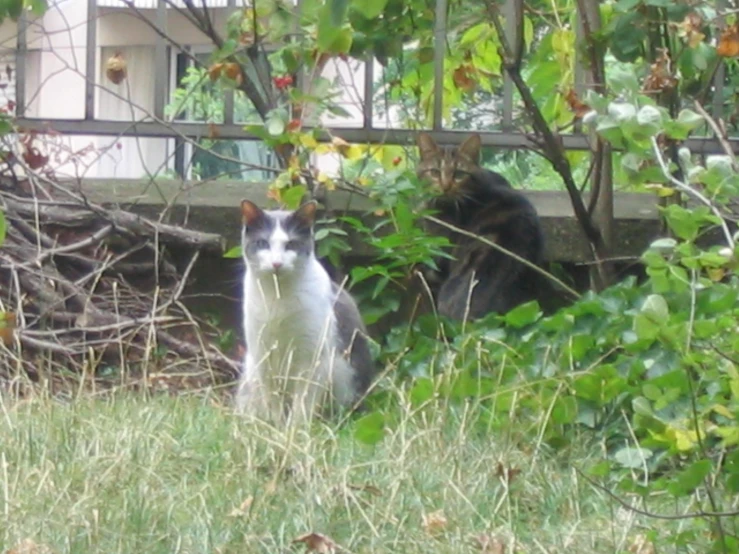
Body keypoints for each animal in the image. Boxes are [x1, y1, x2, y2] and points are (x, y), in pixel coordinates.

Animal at [237, 198, 376, 422]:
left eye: (291, 244)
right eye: (263, 243)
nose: (276, 263)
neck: (278, 298)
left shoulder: (312, 357)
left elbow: (303, 402)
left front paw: (296, 428)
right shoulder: (263, 355)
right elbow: (273, 401)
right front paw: (275, 426)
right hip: (251, 372)